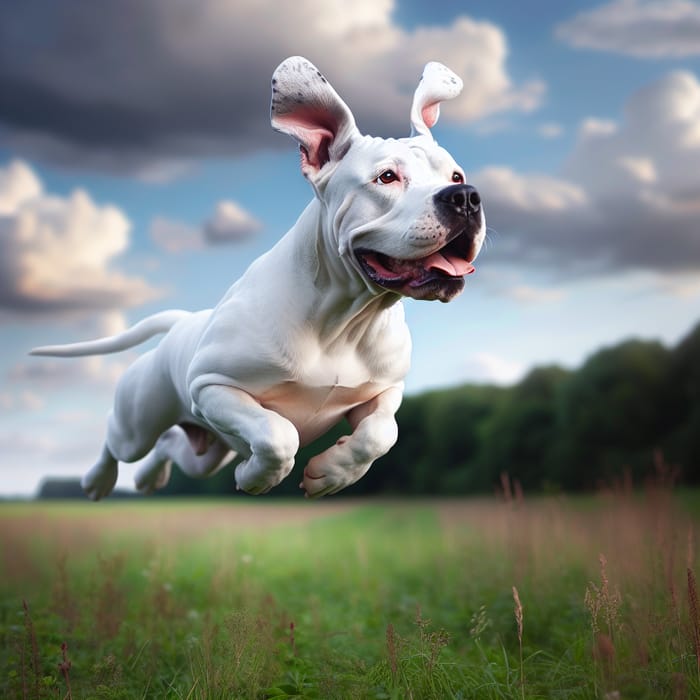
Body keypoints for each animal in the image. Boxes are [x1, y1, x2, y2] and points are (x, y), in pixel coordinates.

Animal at [30, 57, 484, 500]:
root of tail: (183, 322)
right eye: (386, 177)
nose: (465, 197)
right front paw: (256, 477)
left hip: (207, 451)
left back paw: (147, 479)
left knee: (172, 447)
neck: (344, 320)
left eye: (456, 176)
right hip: (141, 420)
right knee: (117, 439)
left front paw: (331, 474)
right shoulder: (213, 387)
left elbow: (381, 433)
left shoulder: (384, 389)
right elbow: (277, 435)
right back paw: (98, 481)